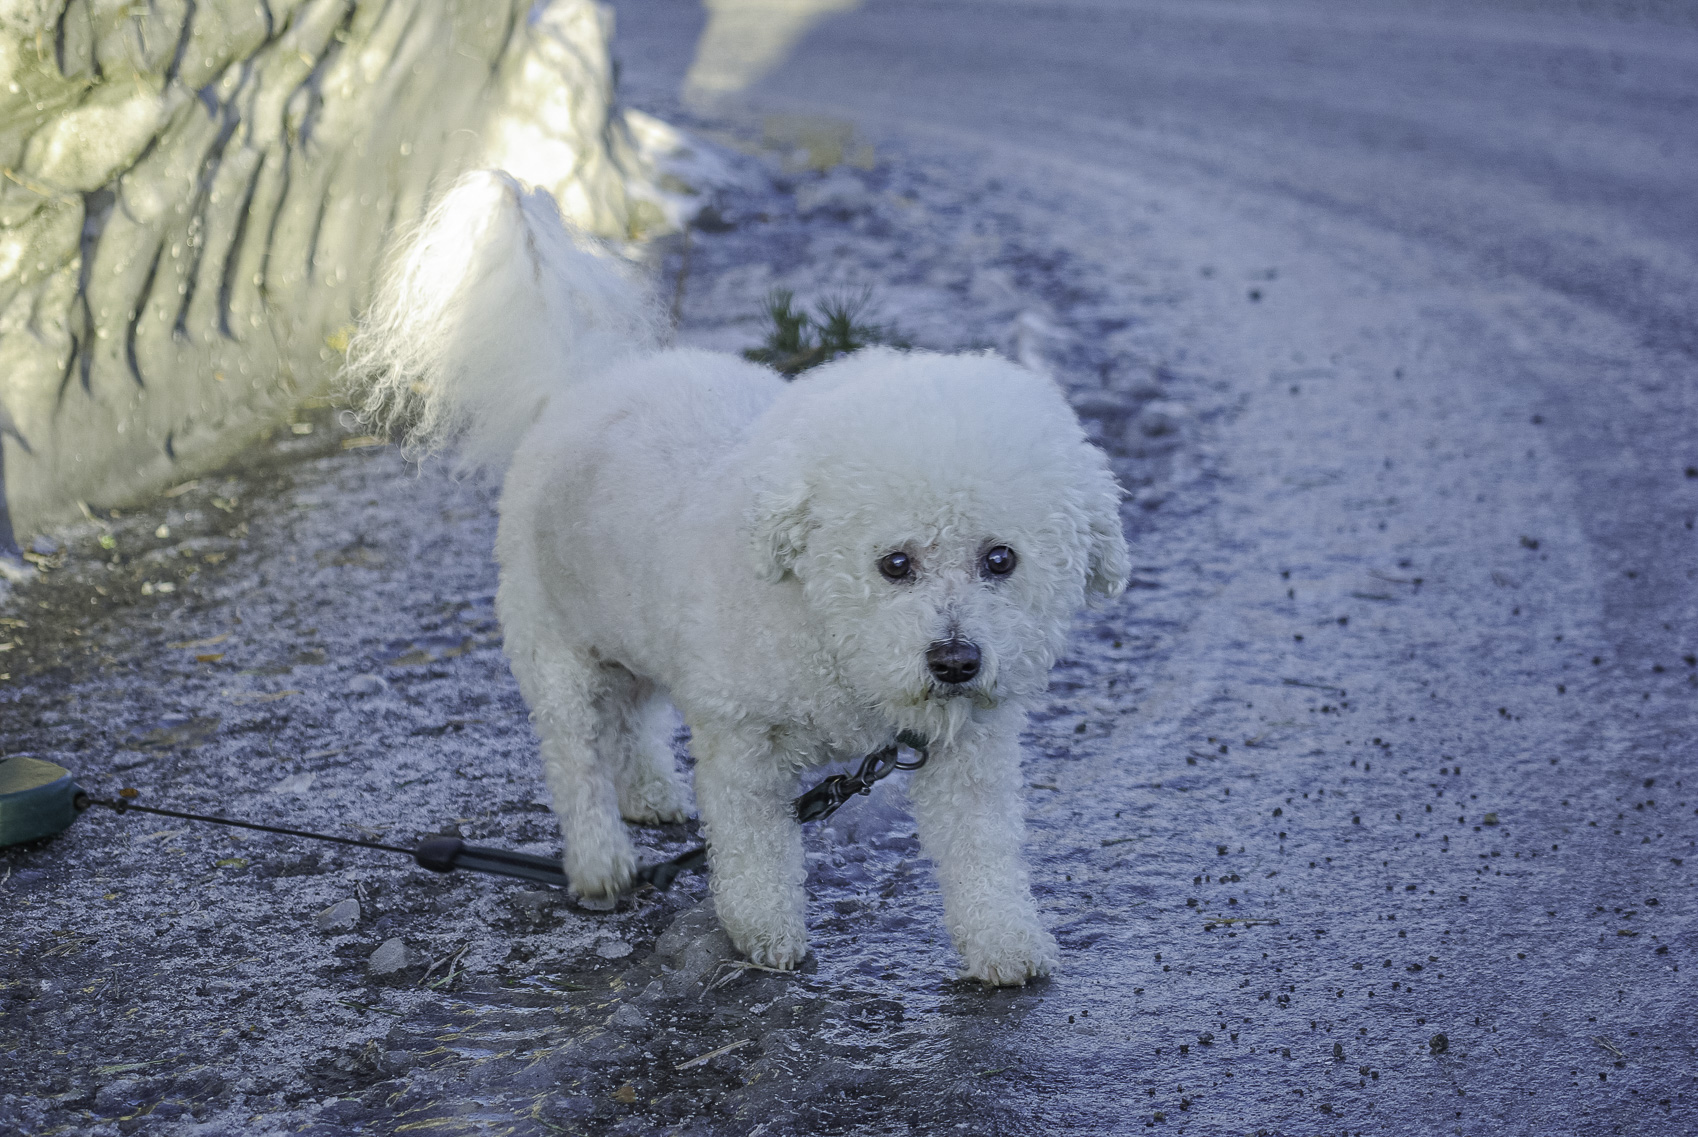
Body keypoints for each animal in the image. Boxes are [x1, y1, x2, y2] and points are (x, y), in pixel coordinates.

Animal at [348, 169, 1127, 991]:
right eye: (895, 563)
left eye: (1001, 559)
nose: (955, 661)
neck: (825, 630)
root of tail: (585, 380)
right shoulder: (741, 740)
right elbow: (754, 848)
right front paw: (765, 934)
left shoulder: (964, 750)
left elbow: (982, 850)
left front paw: (1004, 942)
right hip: (551, 640)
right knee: (575, 754)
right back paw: (600, 861)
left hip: (632, 620)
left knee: (631, 711)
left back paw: (650, 793)